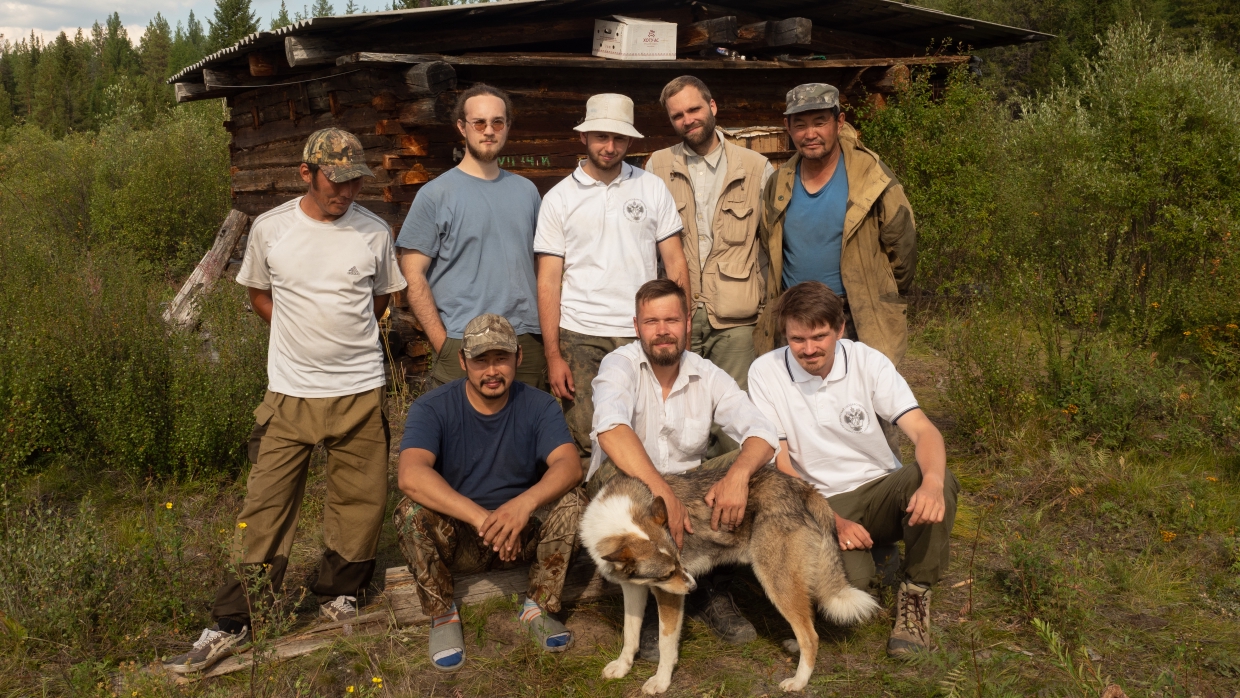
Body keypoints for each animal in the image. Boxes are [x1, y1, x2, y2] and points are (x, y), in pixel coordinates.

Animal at [580, 463, 882, 694]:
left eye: (678, 561)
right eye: (669, 571)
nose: (693, 586)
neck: (616, 520)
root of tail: (799, 485)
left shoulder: (668, 596)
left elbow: (666, 646)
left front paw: (660, 682)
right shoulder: (634, 589)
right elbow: (630, 635)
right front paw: (622, 667)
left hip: (776, 582)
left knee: (811, 636)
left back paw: (798, 681)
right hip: (791, 584)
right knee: (808, 623)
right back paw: (796, 649)